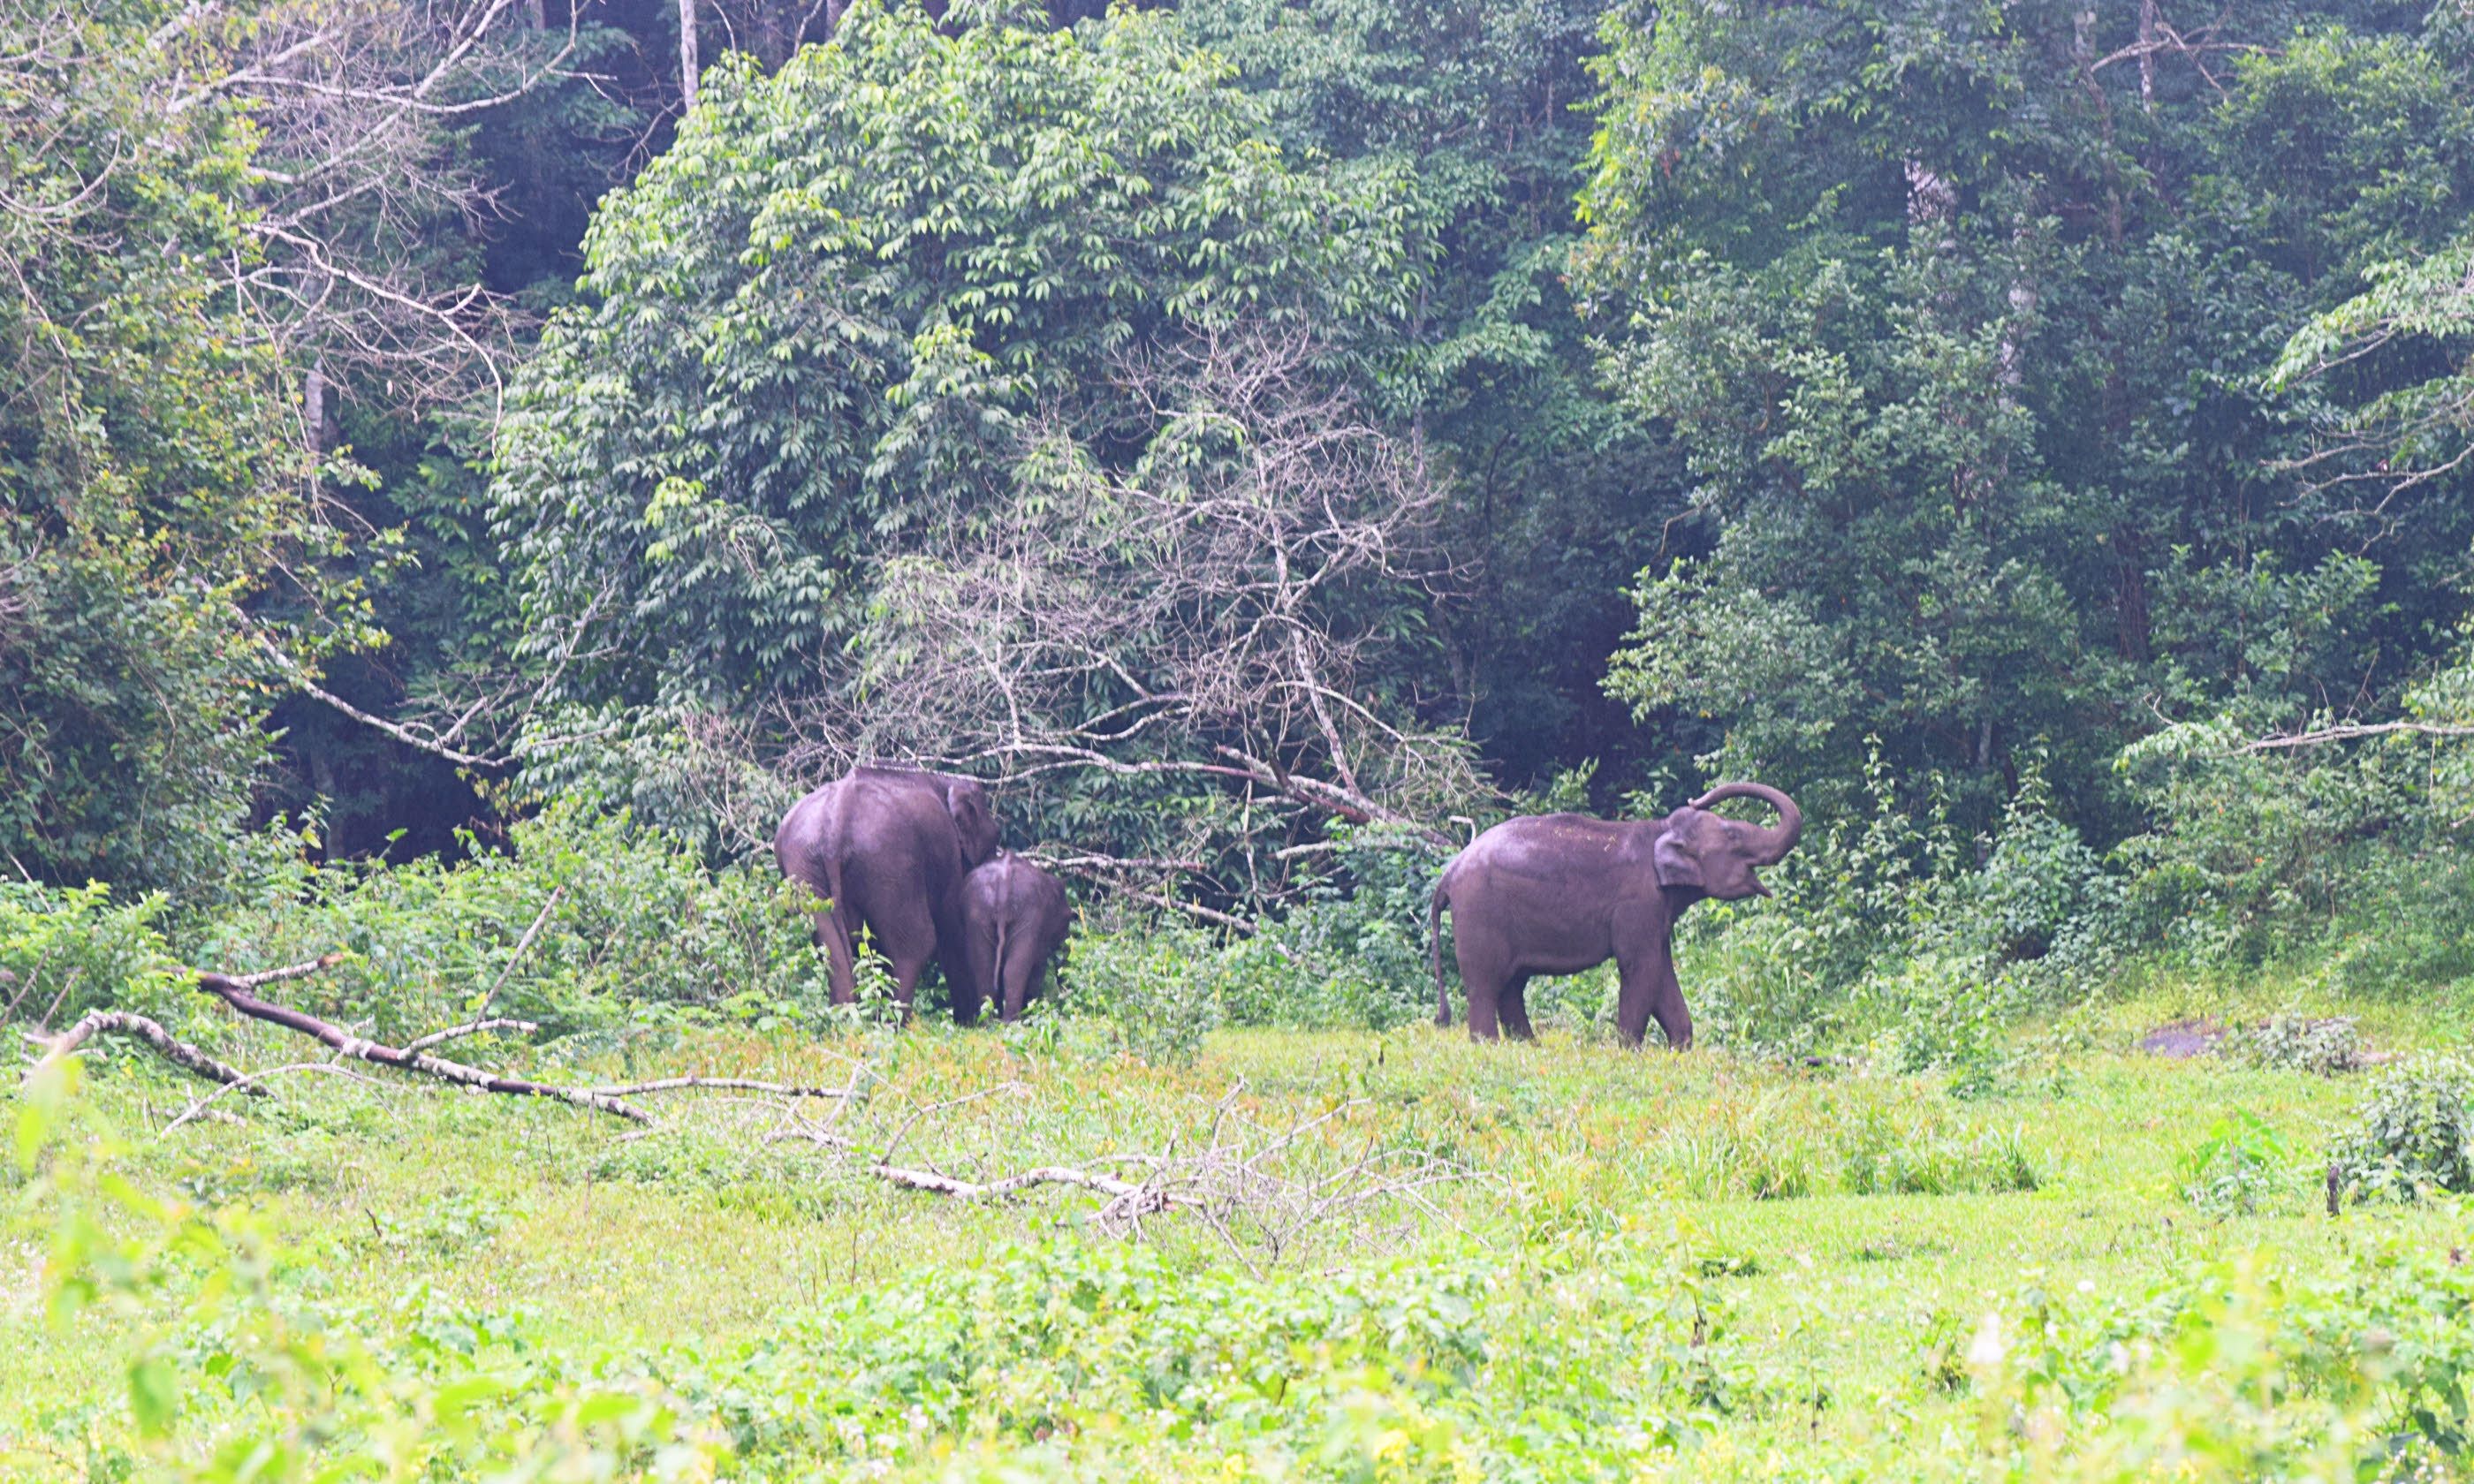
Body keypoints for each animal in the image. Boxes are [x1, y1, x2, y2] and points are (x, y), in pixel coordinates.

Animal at [774, 765, 1000, 1012]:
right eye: (995, 839)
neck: (946, 782)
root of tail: (837, 817)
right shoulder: (948, 854)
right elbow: (954, 930)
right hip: (889, 861)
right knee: (915, 943)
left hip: (806, 868)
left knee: (830, 947)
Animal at [953, 850, 1071, 1024]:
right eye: (1068, 918)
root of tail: (1004, 883)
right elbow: (1038, 966)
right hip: (1027, 914)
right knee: (1015, 969)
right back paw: (1012, 1021)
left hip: (978, 914)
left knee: (986, 969)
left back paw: (988, 1022)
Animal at [1427, 782, 1803, 1049]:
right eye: (1733, 835)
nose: (1696, 798)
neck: (1659, 829)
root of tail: (1449, 873)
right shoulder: (1637, 905)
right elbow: (1641, 968)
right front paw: (1629, 1050)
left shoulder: (1656, 912)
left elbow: (1662, 970)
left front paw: (1679, 1048)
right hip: (1479, 914)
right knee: (1485, 985)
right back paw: (1489, 1046)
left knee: (1511, 986)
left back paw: (1529, 1046)